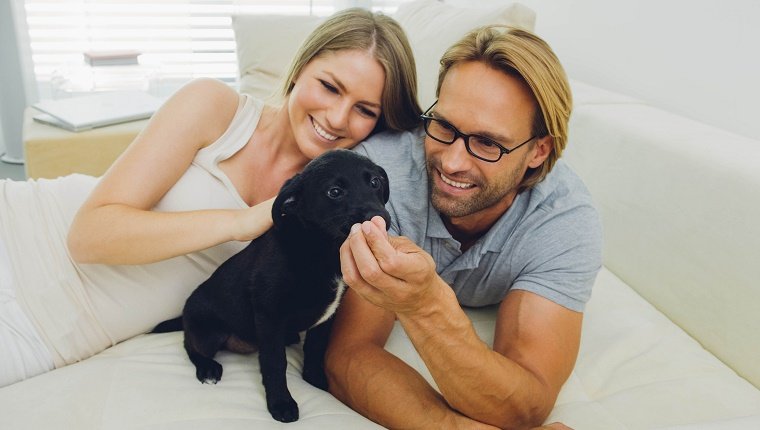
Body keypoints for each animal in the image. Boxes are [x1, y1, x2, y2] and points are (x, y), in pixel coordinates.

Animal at [154, 149, 392, 424]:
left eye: (375, 182)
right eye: (334, 192)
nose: (379, 218)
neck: (320, 250)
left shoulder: (328, 315)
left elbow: (315, 347)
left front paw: (313, 378)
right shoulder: (270, 315)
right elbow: (275, 363)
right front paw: (281, 403)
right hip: (207, 332)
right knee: (189, 344)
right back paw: (207, 367)